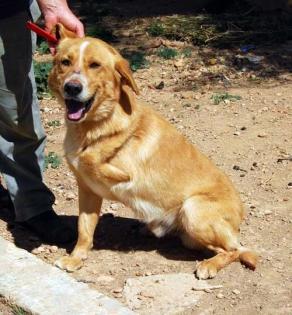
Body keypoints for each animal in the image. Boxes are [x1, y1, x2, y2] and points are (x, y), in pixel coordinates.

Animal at [48, 25, 258, 282]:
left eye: (95, 65)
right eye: (65, 62)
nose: (72, 87)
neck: (93, 126)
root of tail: (240, 216)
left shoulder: (128, 173)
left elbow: (95, 159)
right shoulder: (88, 191)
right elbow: (84, 229)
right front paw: (77, 257)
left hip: (193, 210)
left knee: (236, 250)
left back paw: (209, 265)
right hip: (190, 234)